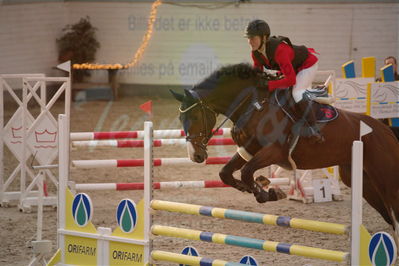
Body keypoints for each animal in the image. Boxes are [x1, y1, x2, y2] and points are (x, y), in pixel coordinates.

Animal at [171, 63, 399, 246]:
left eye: (194, 116)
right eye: (181, 118)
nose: (195, 155)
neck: (253, 105)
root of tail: (386, 130)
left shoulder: (275, 151)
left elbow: (246, 171)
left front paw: (266, 192)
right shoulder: (249, 149)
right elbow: (226, 173)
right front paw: (256, 187)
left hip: (386, 178)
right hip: (360, 179)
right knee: (388, 216)